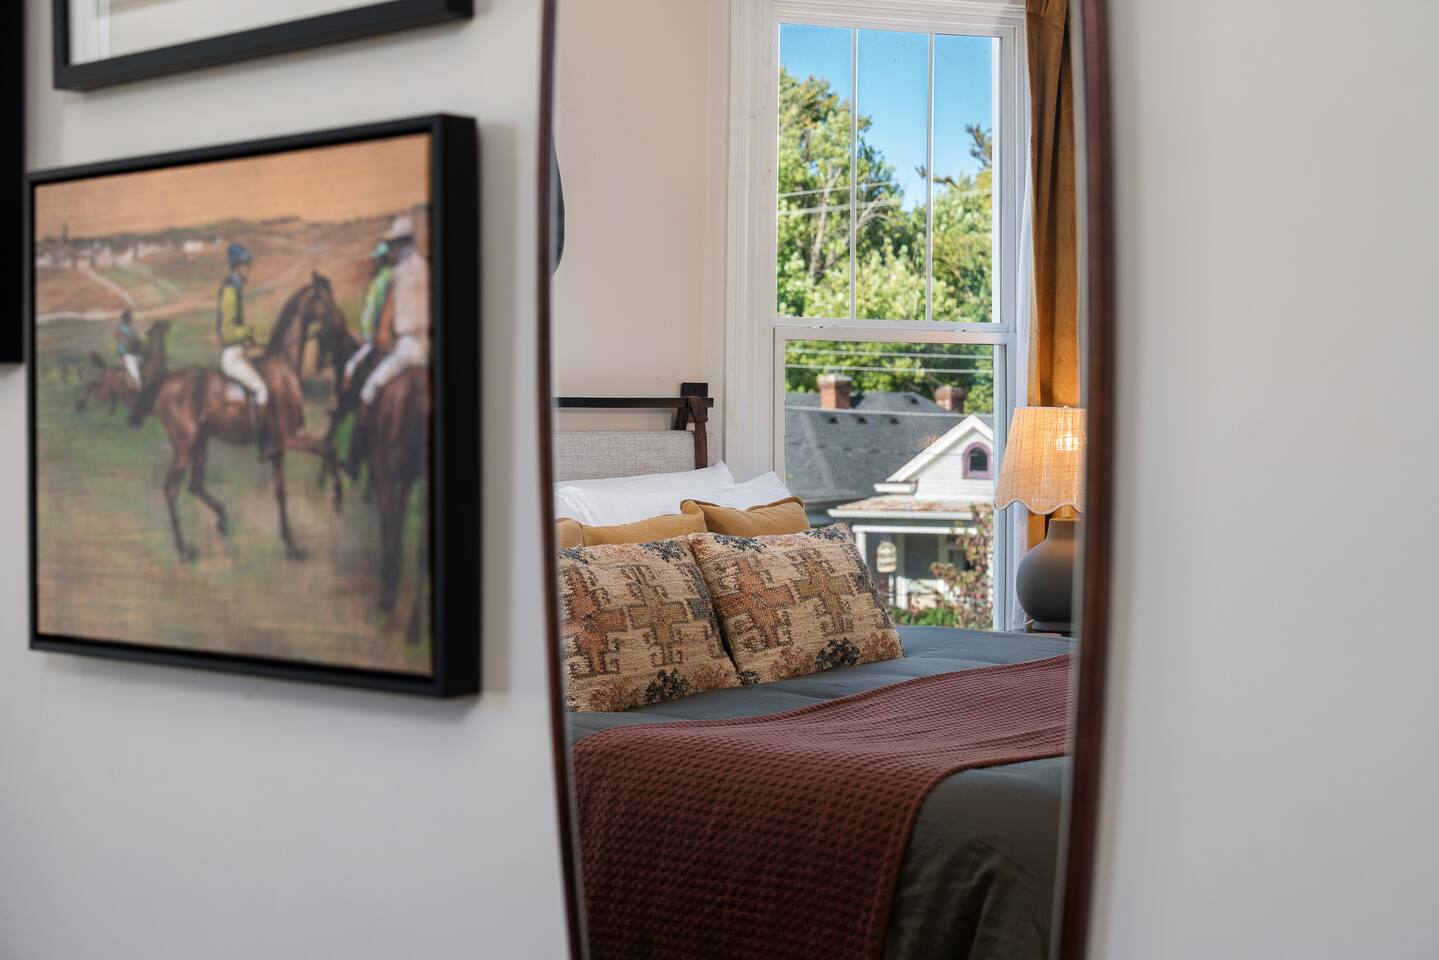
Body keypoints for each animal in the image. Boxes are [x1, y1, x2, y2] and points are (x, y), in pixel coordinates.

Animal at [136, 274, 345, 562]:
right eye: (325, 298)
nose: (341, 322)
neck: (283, 368)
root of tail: (165, 382)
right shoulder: (291, 437)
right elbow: (329, 447)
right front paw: (336, 495)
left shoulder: (278, 449)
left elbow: (281, 492)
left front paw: (290, 544)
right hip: (184, 445)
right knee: (171, 489)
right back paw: (184, 550)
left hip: (201, 442)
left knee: (195, 485)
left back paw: (222, 519)